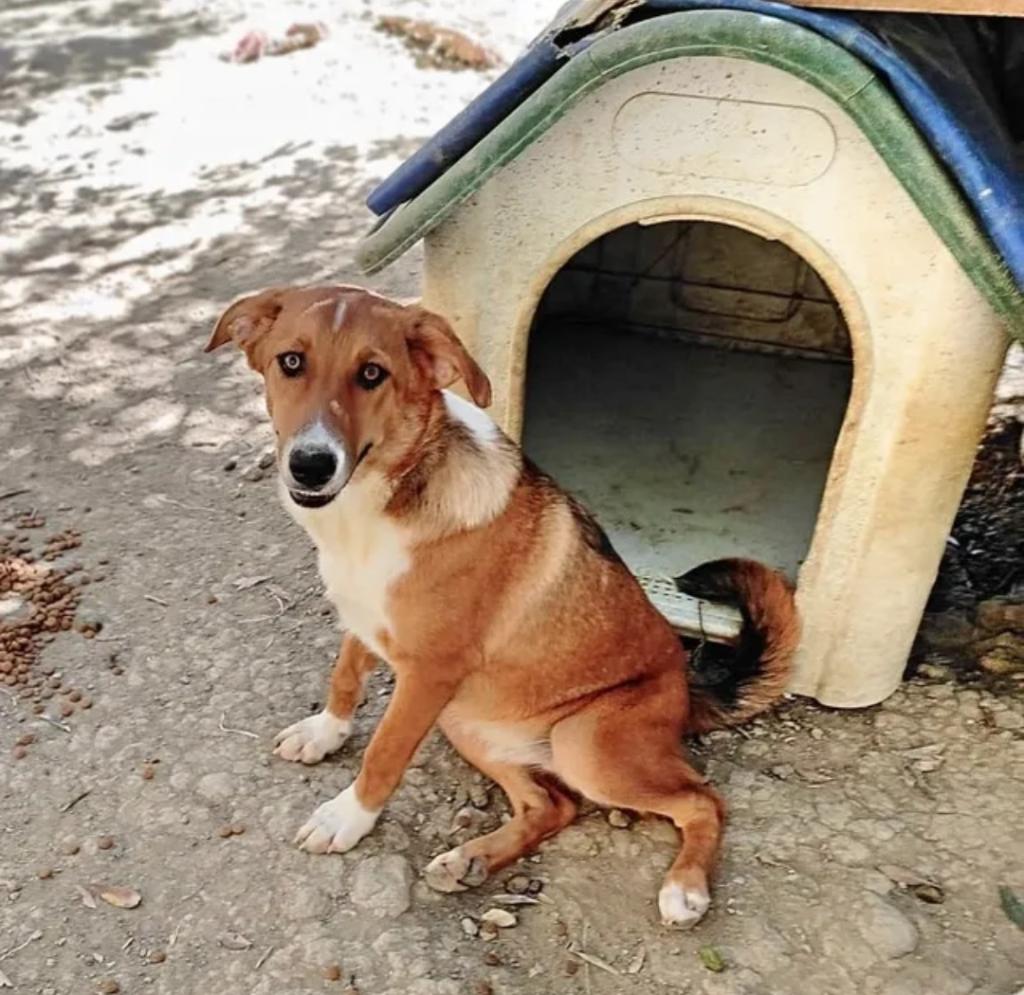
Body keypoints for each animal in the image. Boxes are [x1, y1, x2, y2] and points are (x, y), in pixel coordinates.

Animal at [205, 284, 799, 928]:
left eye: (372, 374)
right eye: (291, 362)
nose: (311, 465)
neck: (373, 509)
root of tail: (689, 694)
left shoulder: (427, 675)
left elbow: (383, 754)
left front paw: (347, 817)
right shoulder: (367, 623)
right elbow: (345, 676)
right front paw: (325, 733)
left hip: (582, 742)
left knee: (702, 799)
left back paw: (684, 887)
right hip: (465, 722)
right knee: (552, 805)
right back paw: (470, 860)